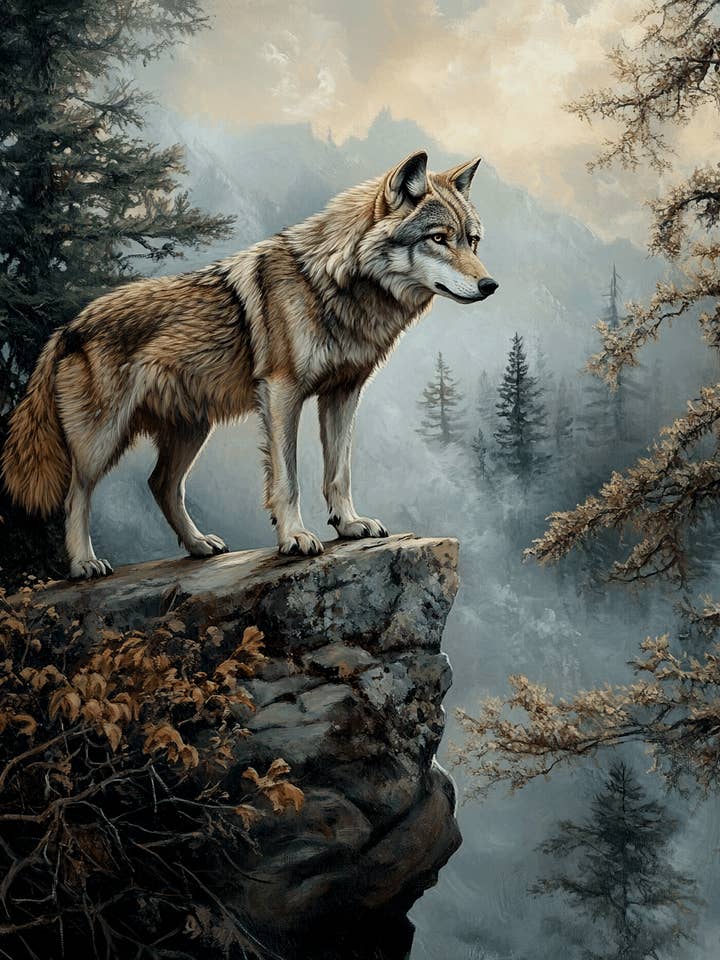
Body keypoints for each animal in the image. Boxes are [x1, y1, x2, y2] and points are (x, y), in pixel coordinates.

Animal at [2, 150, 497, 579]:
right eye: (438, 239)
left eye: (472, 241)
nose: (490, 285)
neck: (335, 283)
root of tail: (68, 327)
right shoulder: (281, 393)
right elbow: (288, 478)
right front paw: (295, 537)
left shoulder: (343, 393)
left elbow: (338, 471)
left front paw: (349, 524)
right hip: (102, 438)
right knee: (76, 494)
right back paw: (84, 563)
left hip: (192, 430)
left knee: (161, 485)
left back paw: (199, 545)